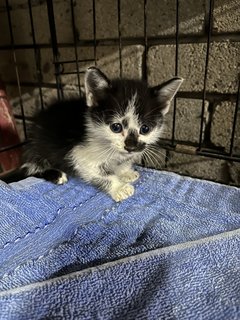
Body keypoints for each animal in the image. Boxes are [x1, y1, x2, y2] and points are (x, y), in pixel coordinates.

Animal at [21, 67, 183, 202]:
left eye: (145, 129)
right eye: (116, 127)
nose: (130, 146)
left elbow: (121, 163)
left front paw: (125, 172)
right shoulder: (79, 155)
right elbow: (101, 174)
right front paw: (119, 187)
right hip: (38, 149)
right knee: (29, 168)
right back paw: (57, 175)